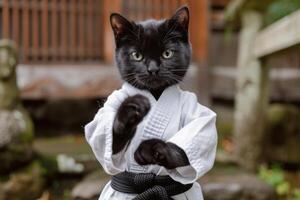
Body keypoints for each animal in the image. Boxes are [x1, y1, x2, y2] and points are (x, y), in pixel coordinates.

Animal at [111, 6, 191, 169]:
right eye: (136, 55)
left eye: (167, 53)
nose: (153, 69)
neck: (156, 93)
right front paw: (131, 109)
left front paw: (152, 149)